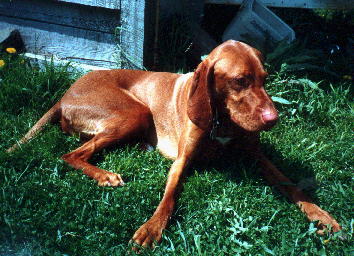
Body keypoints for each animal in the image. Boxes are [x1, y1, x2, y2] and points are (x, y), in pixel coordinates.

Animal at [7, 40, 340, 248]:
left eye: (264, 78)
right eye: (240, 80)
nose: (274, 119)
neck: (220, 120)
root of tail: (64, 94)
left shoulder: (257, 157)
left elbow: (291, 185)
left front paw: (322, 216)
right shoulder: (182, 160)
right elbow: (169, 196)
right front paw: (152, 228)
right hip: (134, 112)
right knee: (70, 154)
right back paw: (105, 175)